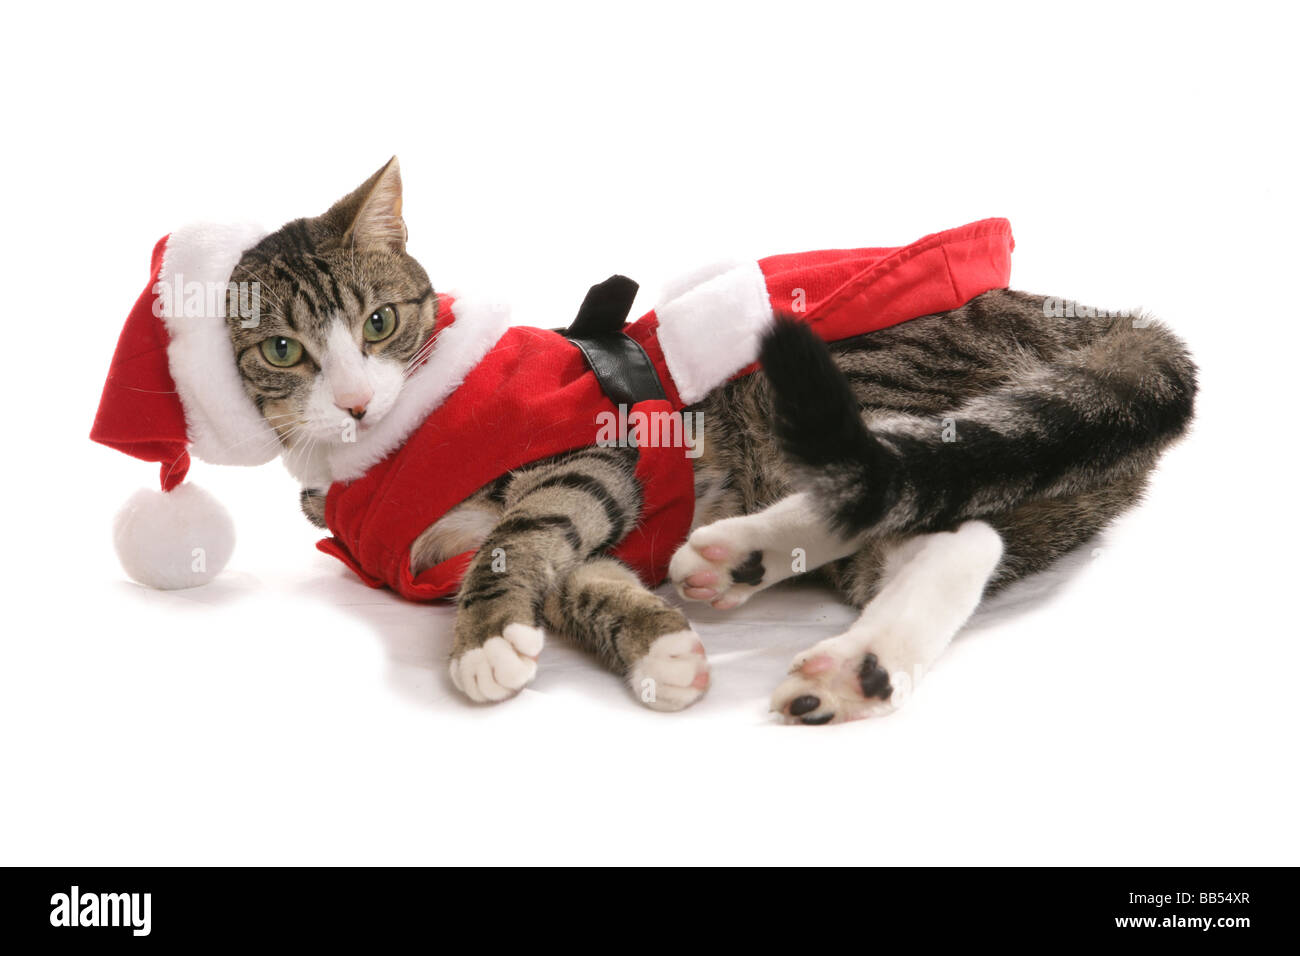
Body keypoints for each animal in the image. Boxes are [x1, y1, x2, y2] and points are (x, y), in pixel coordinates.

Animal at [223, 158, 1196, 723]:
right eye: (284, 351)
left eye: (380, 323)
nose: (354, 404)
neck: (374, 461)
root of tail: (1088, 314)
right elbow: (578, 579)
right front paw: (657, 646)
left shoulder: (590, 455)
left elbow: (521, 537)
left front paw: (485, 642)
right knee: (959, 536)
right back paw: (843, 656)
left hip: (838, 390)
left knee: (915, 502)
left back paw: (750, 561)